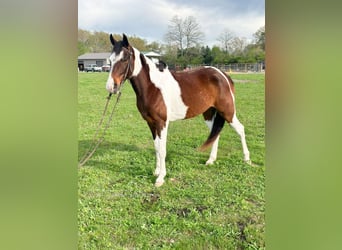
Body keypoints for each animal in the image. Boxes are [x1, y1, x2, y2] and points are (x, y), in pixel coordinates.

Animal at [105, 33, 250, 187]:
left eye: (124, 59)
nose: (111, 87)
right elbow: (156, 147)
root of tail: (223, 75)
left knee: (240, 129)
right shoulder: (151, 123)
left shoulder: (162, 123)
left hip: (227, 112)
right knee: (215, 133)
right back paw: (211, 160)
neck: (153, 87)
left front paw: (161, 178)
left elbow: (162, 150)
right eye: (110, 60)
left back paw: (247, 159)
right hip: (209, 114)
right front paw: (156, 171)